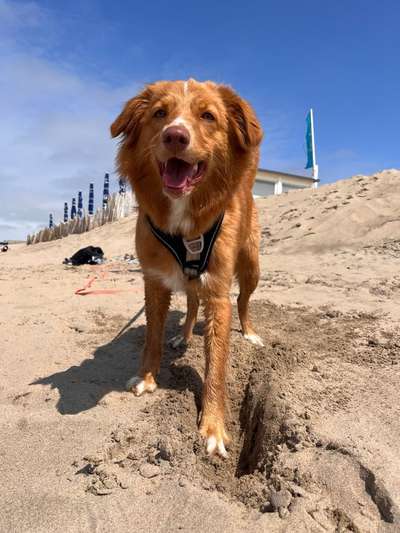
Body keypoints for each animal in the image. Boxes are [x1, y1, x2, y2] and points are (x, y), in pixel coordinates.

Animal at [111, 79, 264, 458]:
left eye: (208, 116)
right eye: (159, 113)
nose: (175, 136)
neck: (182, 222)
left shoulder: (218, 293)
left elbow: (216, 366)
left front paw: (213, 426)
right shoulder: (153, 282)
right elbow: (152, 338)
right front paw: (147, 378)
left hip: (251, 266)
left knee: (244, 301)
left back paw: (249, 332)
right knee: (192, 302)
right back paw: (183, 334)